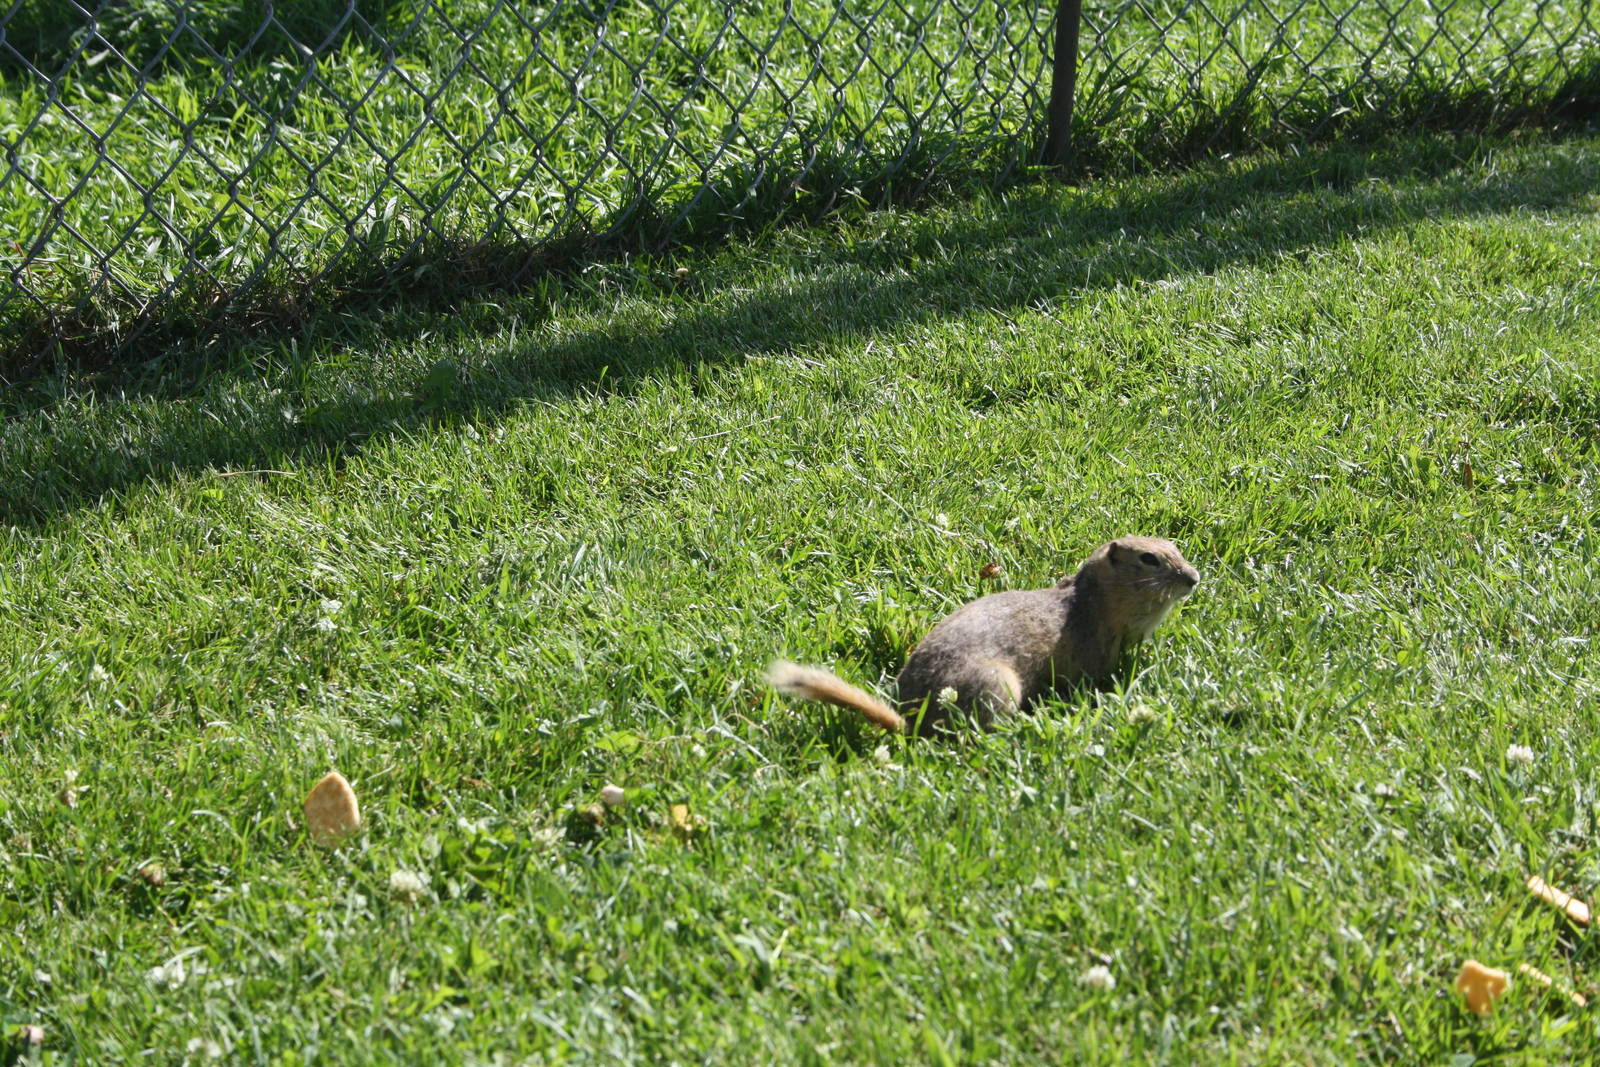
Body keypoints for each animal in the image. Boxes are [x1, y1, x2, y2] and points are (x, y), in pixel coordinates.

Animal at [768, 535, 1199, 735]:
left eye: (1173, 546)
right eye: (1148, 558)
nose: (1194, 578)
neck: (1092, 600)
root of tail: (913, 721)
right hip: (996, 686)